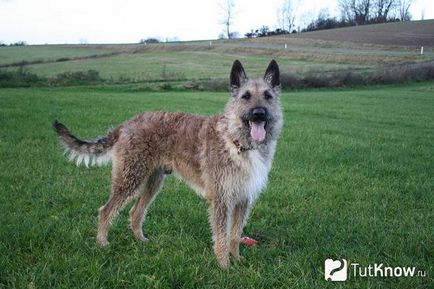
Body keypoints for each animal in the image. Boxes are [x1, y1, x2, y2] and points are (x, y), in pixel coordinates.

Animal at [54, 59, 284, 268]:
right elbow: (221, 236)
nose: (259, 113)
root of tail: (126, 124)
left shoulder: (243, 198)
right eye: (246, 96)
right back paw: (102, 243)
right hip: (130, 179)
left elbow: (235, 234)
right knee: (106, 210)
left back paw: (140, 240)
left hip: (153, 182)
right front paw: (224, 266)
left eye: (268, 96)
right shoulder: (221, 199)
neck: (237, 141)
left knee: (135, 212)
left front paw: (236, 259)